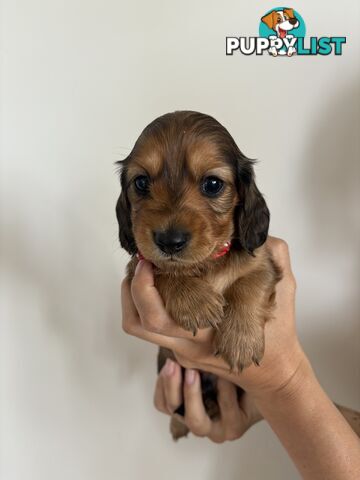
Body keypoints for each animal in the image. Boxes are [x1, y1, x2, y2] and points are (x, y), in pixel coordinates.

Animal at [116, 111, 282, 438]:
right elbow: (161, 269)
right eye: (141, 182)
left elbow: (250, 283)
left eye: (213, 184)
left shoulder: (264, 261)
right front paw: (195, 302)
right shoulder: (137, 265)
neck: (204, 264)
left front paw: (240, 340)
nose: (169, 241)